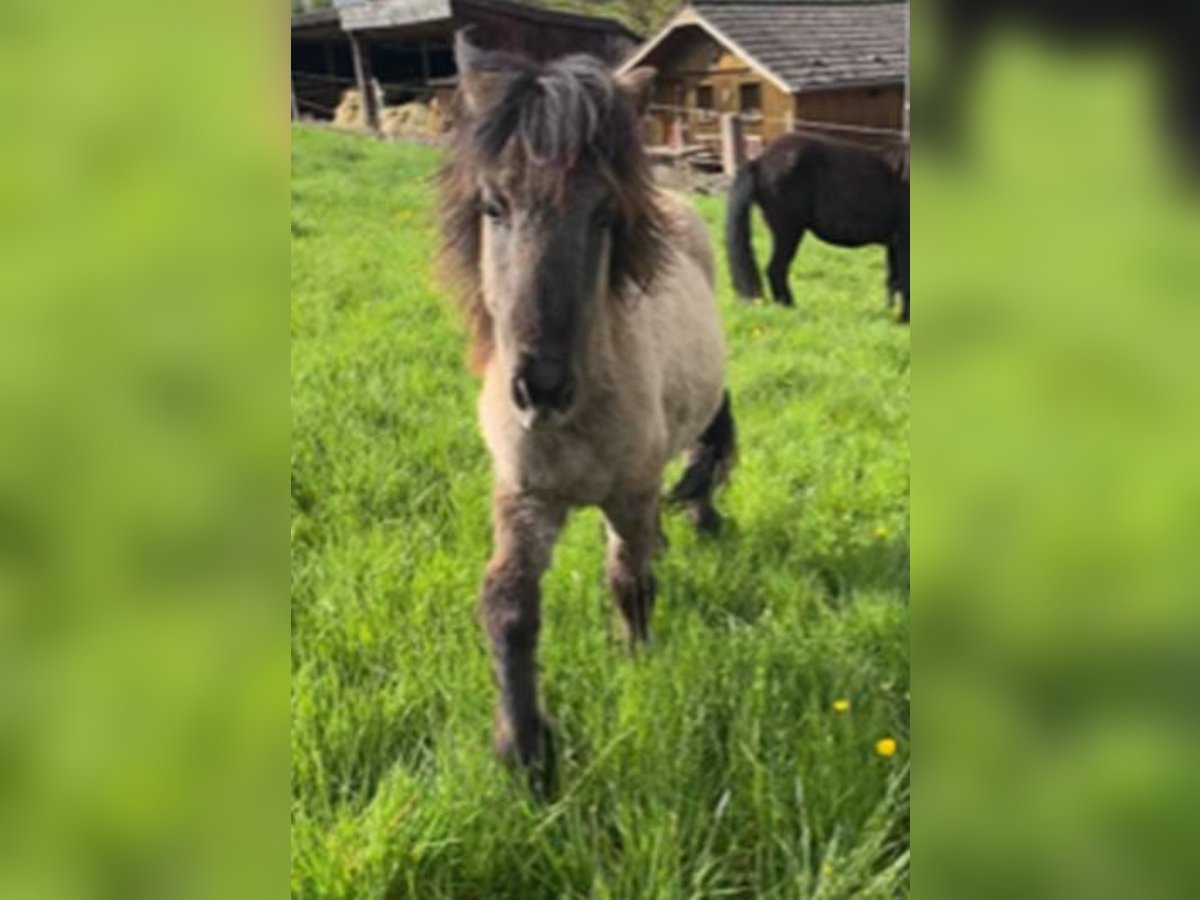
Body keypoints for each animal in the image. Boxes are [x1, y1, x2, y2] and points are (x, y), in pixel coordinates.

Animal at [436, 35, 729, 777]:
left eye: (603, 215)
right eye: (494, 206)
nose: (540, 387)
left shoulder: (631, 490)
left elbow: (629, 581)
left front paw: (637, 660)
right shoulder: (525, 495)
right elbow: (508, 605)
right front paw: (525, 752)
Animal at [720, 130, 907, 321]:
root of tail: (760, 161)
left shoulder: (894, 244)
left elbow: (893, 281)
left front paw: (893, 314)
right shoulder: (903, 241)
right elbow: (904, 281)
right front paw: (903, 318)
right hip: (788, 231)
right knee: (775, 269)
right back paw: (789, 308)